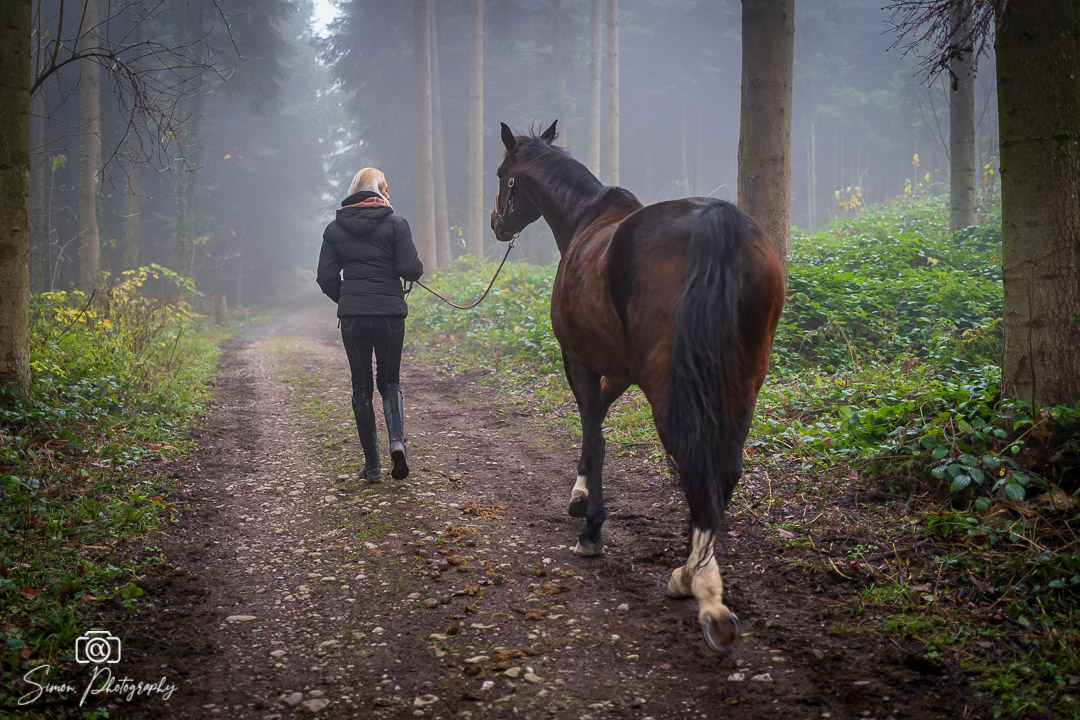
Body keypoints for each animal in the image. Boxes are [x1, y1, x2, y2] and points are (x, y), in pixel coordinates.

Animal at [492, 119, 786, 651]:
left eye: (503, 175)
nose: (497, 223)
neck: (586, 220)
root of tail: (719, 226)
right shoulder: (621, 369)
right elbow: (598, 422)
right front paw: (578, 496)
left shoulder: (580, 360)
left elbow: (594, 434)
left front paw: (591, 528)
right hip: (742, 384)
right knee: (725, 469)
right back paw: (694, 574)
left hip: (670, 389)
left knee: (696, 466)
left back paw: (700, 588)